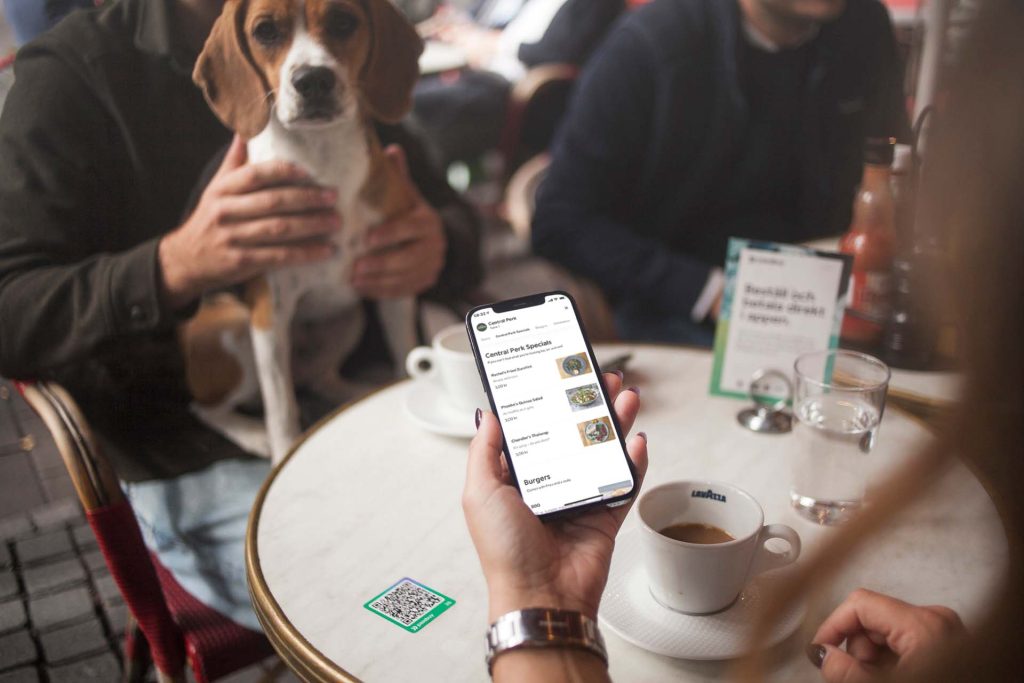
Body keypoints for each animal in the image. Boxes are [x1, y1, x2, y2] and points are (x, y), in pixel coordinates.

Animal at [185, 0, 423, 462]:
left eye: (344, 21)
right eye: (265, 31)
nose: (313, 80)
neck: (324, 159)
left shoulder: (394, 288)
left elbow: (405, 353)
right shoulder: (269, 315)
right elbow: (282, 411)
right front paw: (282, 451)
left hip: (349, 318)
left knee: (320, 377)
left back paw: (354, 392)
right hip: (235, 329)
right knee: (205, 408)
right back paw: (252, 434)